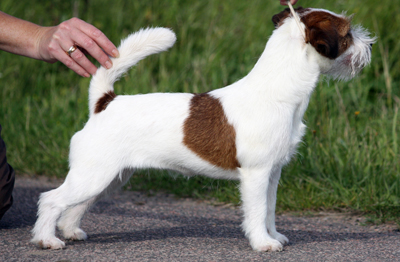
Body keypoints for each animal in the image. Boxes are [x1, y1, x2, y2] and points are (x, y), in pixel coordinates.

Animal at [30, 6, 376, 252]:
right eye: (348, 34)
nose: (370, 45)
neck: (276, 89)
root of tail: (104, 103)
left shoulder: (273, 173)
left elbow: (270, 208)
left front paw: (274, 234)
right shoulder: (256, 174)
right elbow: (256, 211)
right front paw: (263, 243)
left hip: (109, 177)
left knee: (76, 206)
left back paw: (71, 231)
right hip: (93, 174)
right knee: (51, 200)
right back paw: (48, 239)